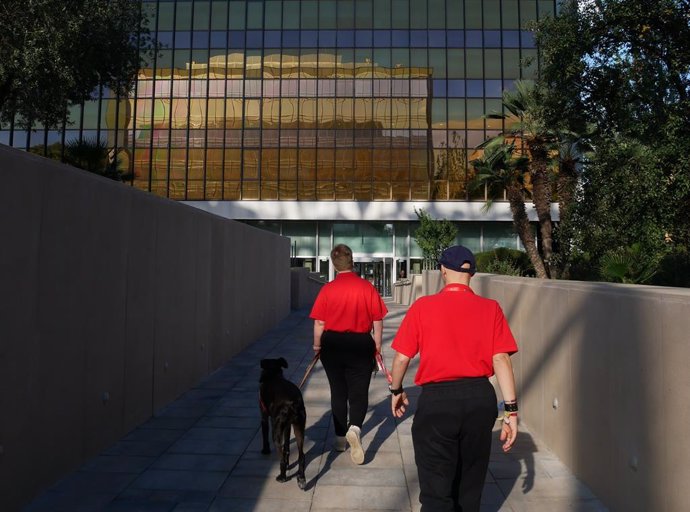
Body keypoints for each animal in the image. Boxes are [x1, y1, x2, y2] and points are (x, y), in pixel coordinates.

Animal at [260, 356, 306, 488]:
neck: (273, 375)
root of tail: (292, 403)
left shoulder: (264, 416)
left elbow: (264, 432)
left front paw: (265, 450)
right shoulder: (288, 426)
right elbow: (287, 447)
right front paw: (288, 461)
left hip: (276, 432)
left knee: (280, 458)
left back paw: (282, 476)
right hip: (299, 426)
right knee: (301, 455)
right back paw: (301, 478)